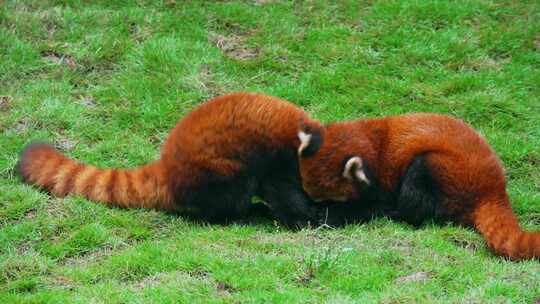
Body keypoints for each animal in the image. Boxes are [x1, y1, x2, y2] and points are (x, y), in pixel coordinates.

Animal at [16, 92, 322, 228]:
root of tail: (167, 167)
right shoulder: (274, 159)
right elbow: (283, 194)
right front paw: (305, 217)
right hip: (215, 171)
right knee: (229, 196)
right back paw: (243, 214)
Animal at [298, 113, 536, 260]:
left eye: (329, 199)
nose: (313, 209)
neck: (373, 143)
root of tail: (494, 188)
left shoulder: (384, 177)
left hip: (445, 170)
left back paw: (393, 214)